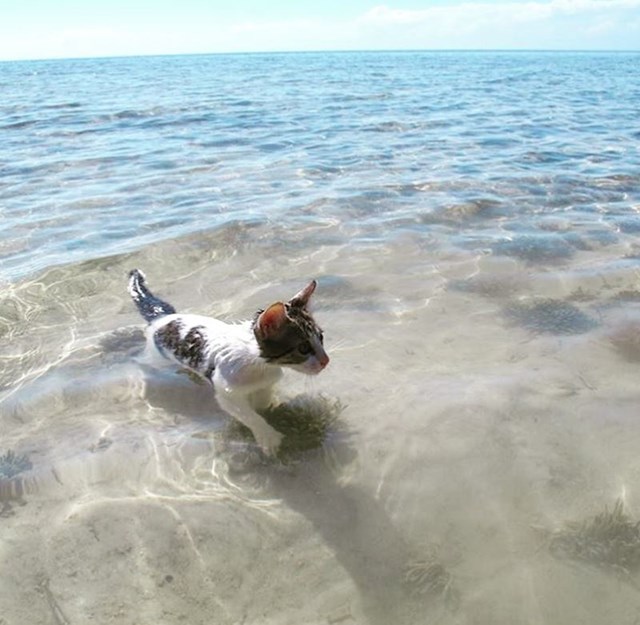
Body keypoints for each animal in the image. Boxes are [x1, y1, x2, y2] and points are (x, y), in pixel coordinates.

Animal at [128, 268, 332, 454]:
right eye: (303, 348)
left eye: (321, 337)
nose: (326, 360)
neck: (259, 365)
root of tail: (163, 317)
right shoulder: (226, 393)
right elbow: (248, 415)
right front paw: (267, 435)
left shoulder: (266, 383)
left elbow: (262, 402)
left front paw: (268, 407)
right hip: (156, 358)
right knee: (140, 362)